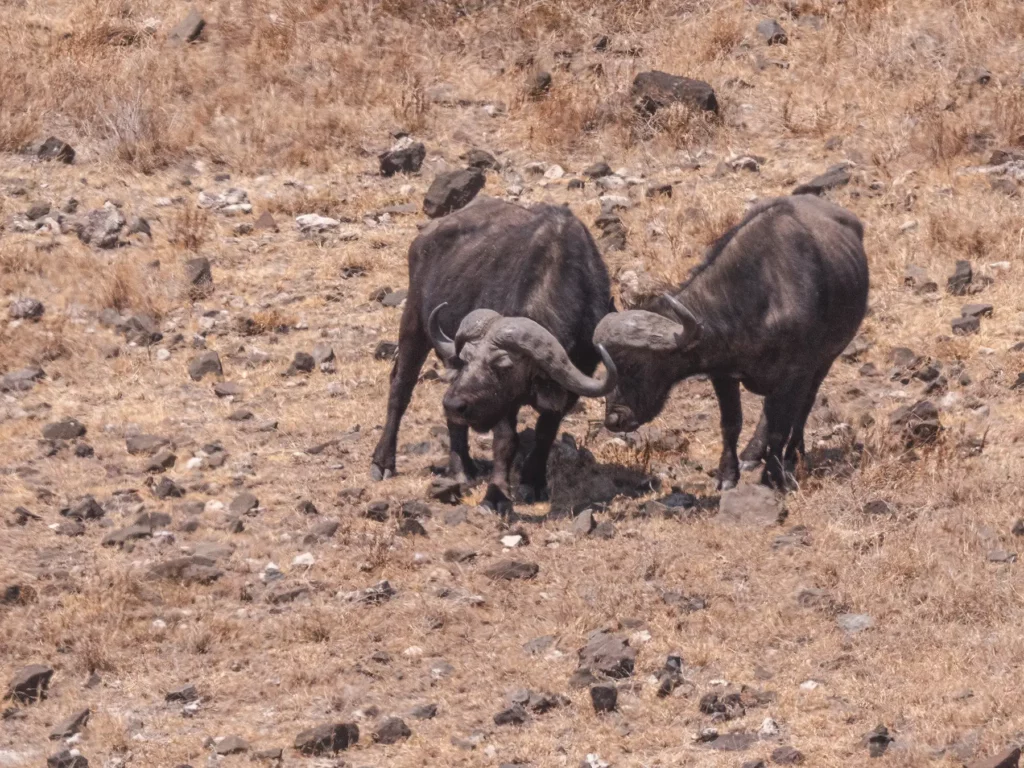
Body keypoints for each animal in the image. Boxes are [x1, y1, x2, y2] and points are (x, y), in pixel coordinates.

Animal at [371, 197, 617, 513]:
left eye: (503, 366)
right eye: (468, 360)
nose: (454, 404)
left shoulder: (568, 388)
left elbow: (545, 432)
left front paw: (534, 481)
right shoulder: (502, 404)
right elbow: (506, 440)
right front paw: (496, 495)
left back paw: (463, 467)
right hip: (413, 323)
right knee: (401, 388)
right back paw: (384, 462)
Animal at [594, 194, 869, 490]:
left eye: (636, 366)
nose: (615, 419)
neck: (757, 300)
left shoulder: (795, 374)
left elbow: (780, 428)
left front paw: (773, 476)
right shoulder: (723, 374)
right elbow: (732, 423)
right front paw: (727, 475)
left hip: (825, 361)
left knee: (804, 407)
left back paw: (793, 455)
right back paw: (753, 454)